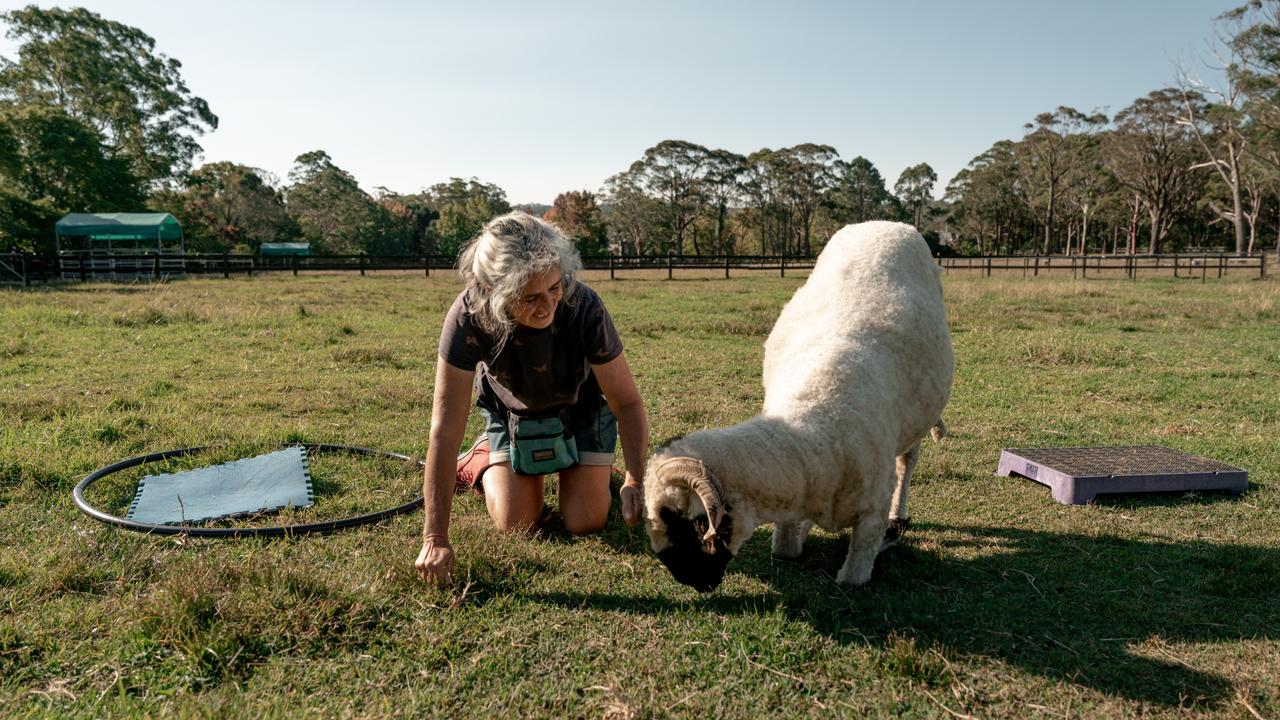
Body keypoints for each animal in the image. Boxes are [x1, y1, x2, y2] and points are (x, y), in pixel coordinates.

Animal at [640, 220, 952, 589]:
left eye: (681, 521)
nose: (690, 581)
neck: (811, 426)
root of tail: (885, 224)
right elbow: (786, 548)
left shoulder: (870, 518)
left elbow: (853, 575)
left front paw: (890, 536)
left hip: (915, 422)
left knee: (907, 462)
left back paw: (899, 514)